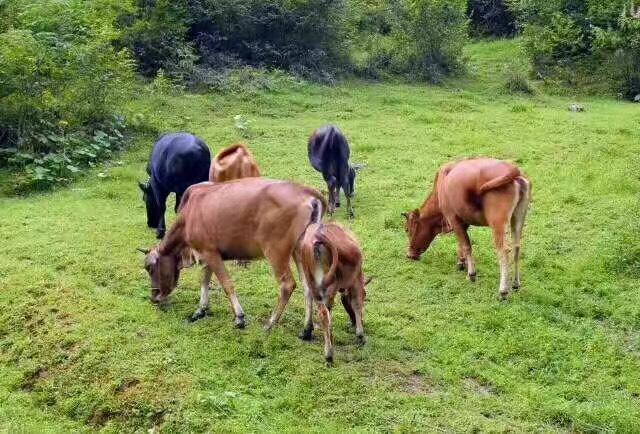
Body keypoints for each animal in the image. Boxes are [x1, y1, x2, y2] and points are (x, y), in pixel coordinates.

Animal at [142, 178, 328, 330]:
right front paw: (201, 309)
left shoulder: (210, 252)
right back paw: (306, 329)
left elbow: (226, 284)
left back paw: (270, 323)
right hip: (300, 251)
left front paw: (239, 317)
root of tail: (304, 190)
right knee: (307, 286)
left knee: (287, 284)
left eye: (149, 267)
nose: (153, 297)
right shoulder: (207, 254)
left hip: (276, 252)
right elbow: (205, 281)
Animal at [298, 224, 368, 362]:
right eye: (366, 295)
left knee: (321, 310)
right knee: (328, 312)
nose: (354, 322)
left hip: (315, 283)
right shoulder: (357, 278)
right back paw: (330, 354)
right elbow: (357, 303)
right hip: (333, 285)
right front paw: (360, 335)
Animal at [402, 159, 532, 298]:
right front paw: (461, 262)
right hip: (518, 217)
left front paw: (471, 274)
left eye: (407, 229)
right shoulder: (463, 221)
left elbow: (466, 245)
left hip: (497, 222)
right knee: (517, 247)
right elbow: (461, 243)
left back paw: (503, 291)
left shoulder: (453, 218)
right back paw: (516, 283)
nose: (409, 254)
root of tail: (513, 168)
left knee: (504, 250)